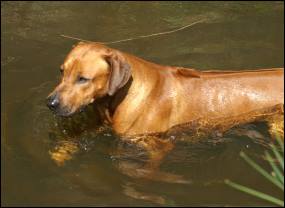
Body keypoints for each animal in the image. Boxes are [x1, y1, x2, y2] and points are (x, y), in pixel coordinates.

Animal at [47, 42, 282, 180]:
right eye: (61, 71)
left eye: (83, 79)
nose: (50, 103)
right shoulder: (104, 125)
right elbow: (78, 134)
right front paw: (60, 152)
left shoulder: (159, 145)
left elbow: (147, 169)